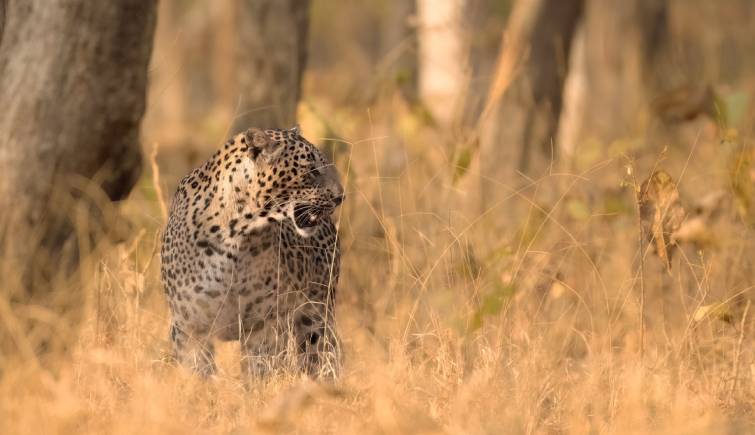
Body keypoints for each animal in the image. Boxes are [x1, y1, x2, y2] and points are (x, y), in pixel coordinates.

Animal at [164, 125, 346, 378]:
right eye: (311, 170)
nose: (341, 196)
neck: (235, 233)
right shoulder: (189, 326)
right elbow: (198, 372)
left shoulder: (263, 325)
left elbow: (260, 370)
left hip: (317, 312)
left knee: (321, 355)